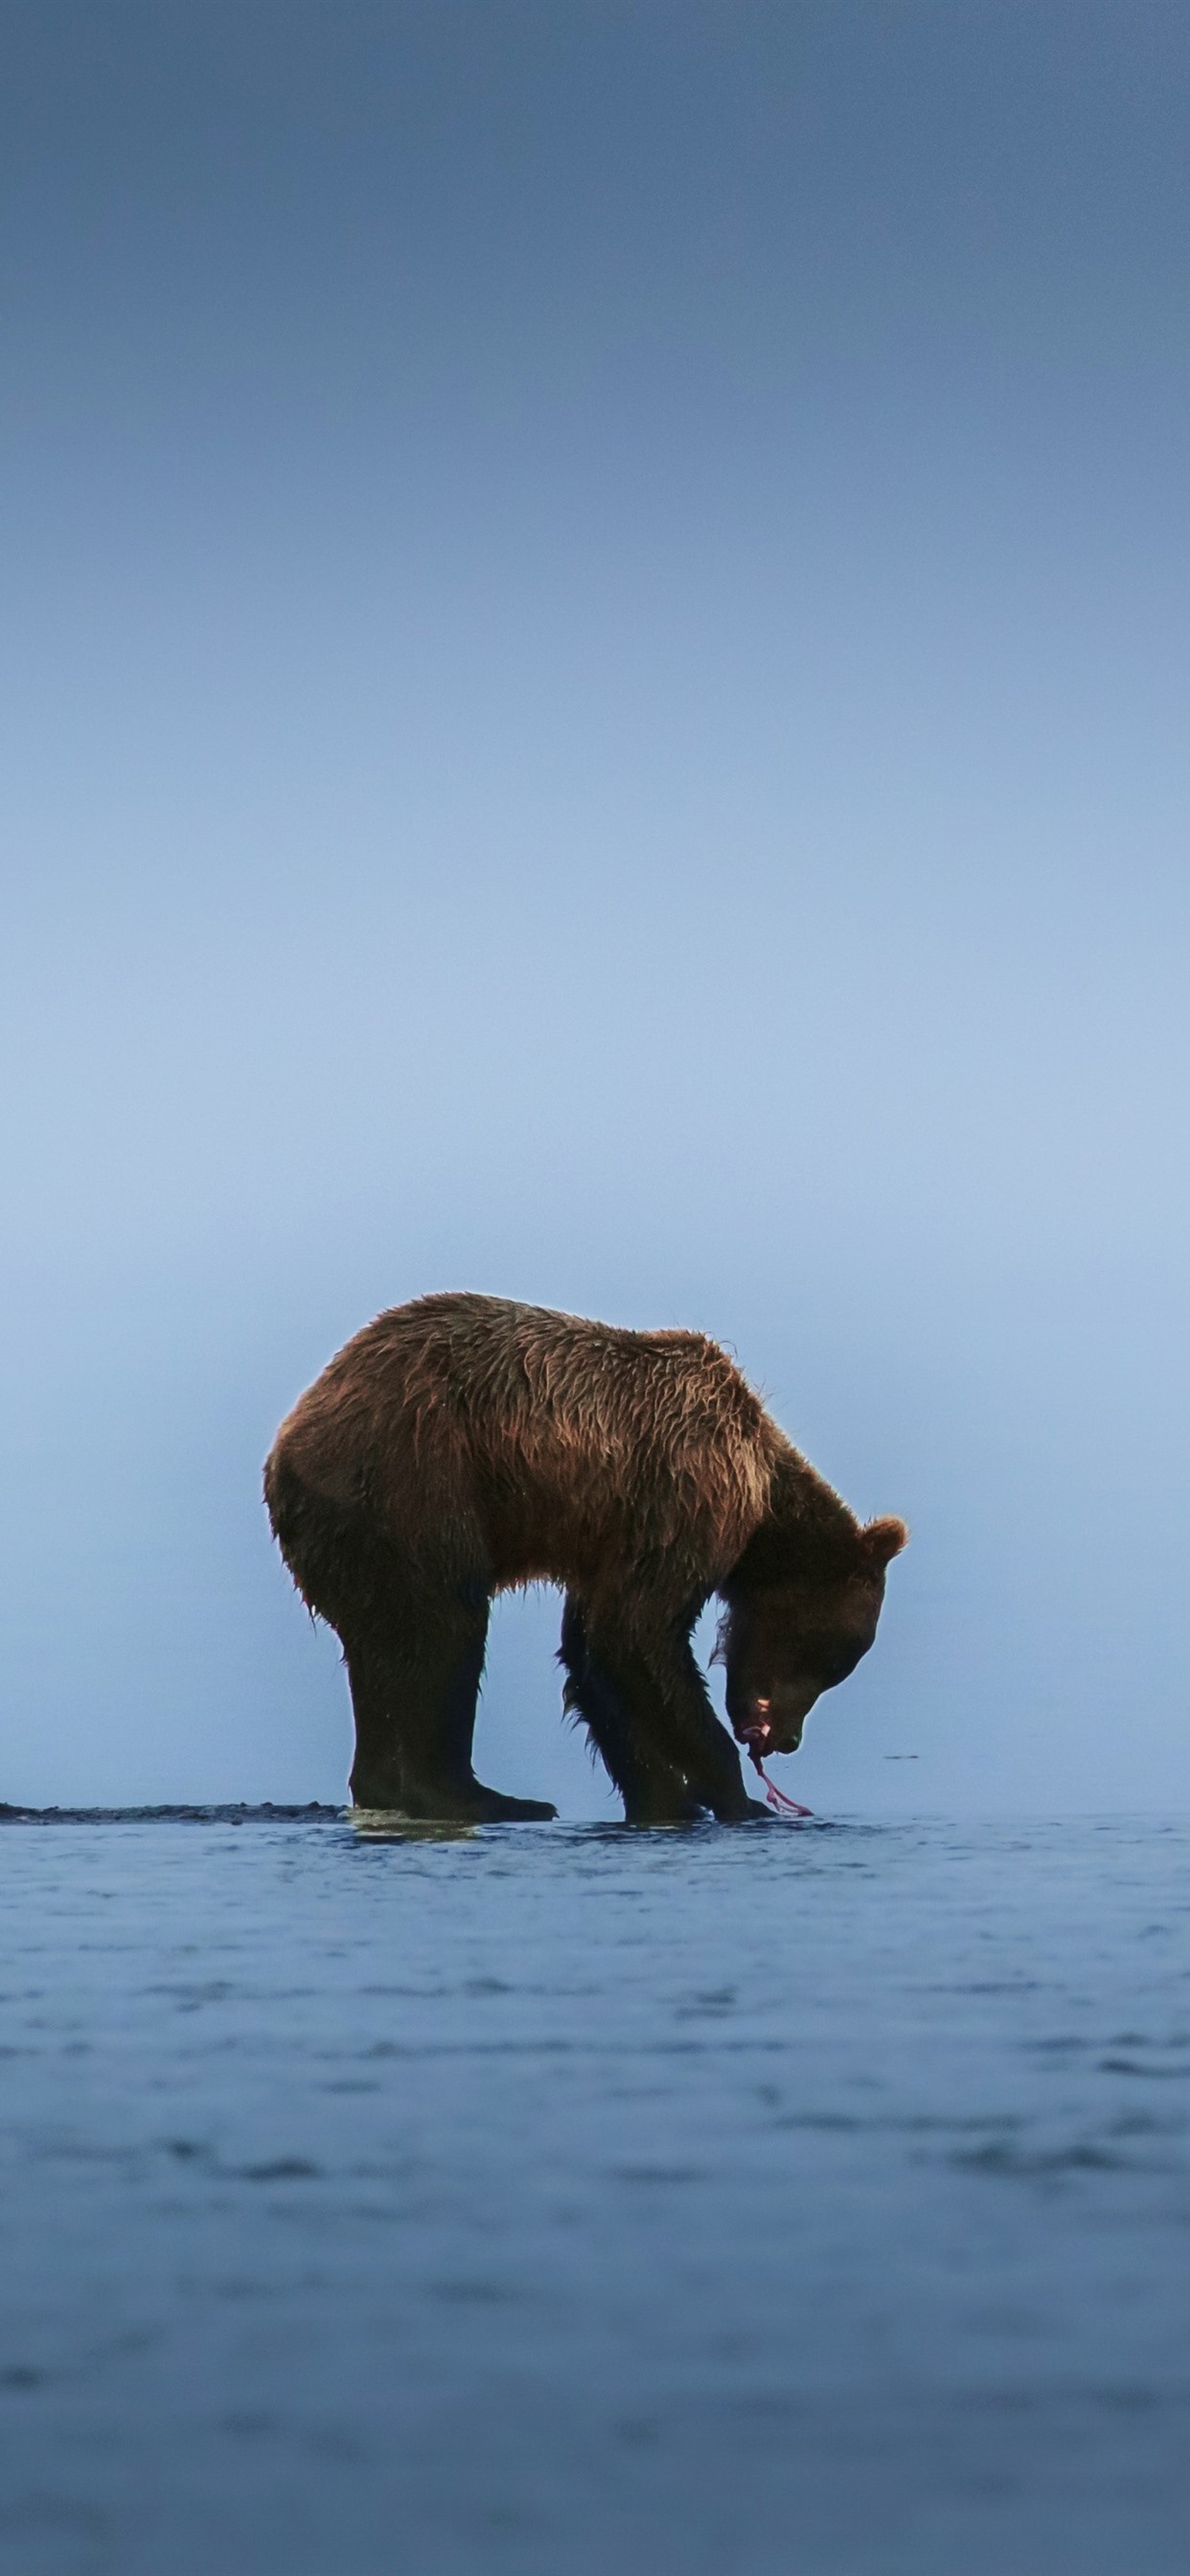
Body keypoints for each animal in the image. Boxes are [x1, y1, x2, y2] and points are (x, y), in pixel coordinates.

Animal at [264, 1298, 906, 1824]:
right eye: (829, 1661)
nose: (788, 1742)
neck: (765, 1505)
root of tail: (284, 1450)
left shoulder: (607, 1540)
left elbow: (594, 1653)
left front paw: (665, 1798)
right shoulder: (686, 1491)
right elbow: (639, 1633)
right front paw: (738, 1798)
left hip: (360, 1535)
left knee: (380, 1651)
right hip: (415, 1480)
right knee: (443, 1630)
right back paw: (478, 1796)